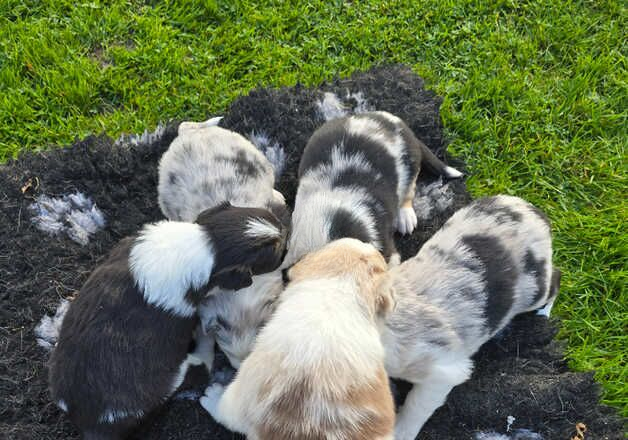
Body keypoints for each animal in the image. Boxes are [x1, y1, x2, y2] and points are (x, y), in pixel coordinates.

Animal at [47, 203, 288, 440]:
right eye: (275, 252)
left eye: (271, 218)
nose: (285, 233)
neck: (205, 243)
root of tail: (92, 424)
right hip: (171, 379)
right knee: (200, 366)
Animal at [386, 196, 560, 440]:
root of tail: (534, 212)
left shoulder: (442, 372)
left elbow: (416, 406)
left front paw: (400, 431)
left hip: (537, 287)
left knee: (556, 280)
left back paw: (543, 313)